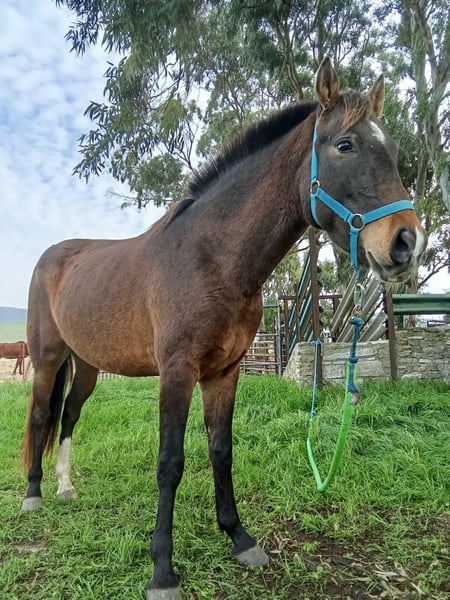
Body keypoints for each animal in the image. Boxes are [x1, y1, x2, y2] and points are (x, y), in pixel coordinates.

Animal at [21, 58, 427, 600]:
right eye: (345, 145)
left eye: (395, 152)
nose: (407, 242)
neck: (213, 259)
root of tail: (52, 255)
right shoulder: (177, 372)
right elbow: (170, 463)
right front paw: (162, 570)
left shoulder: (225, 372)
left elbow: (221, 450)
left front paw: (238, 537)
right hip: (47, 358)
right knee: (43, 415)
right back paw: (34, 494)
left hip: (86, 365)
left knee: (68, 415)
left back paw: (66, 487)